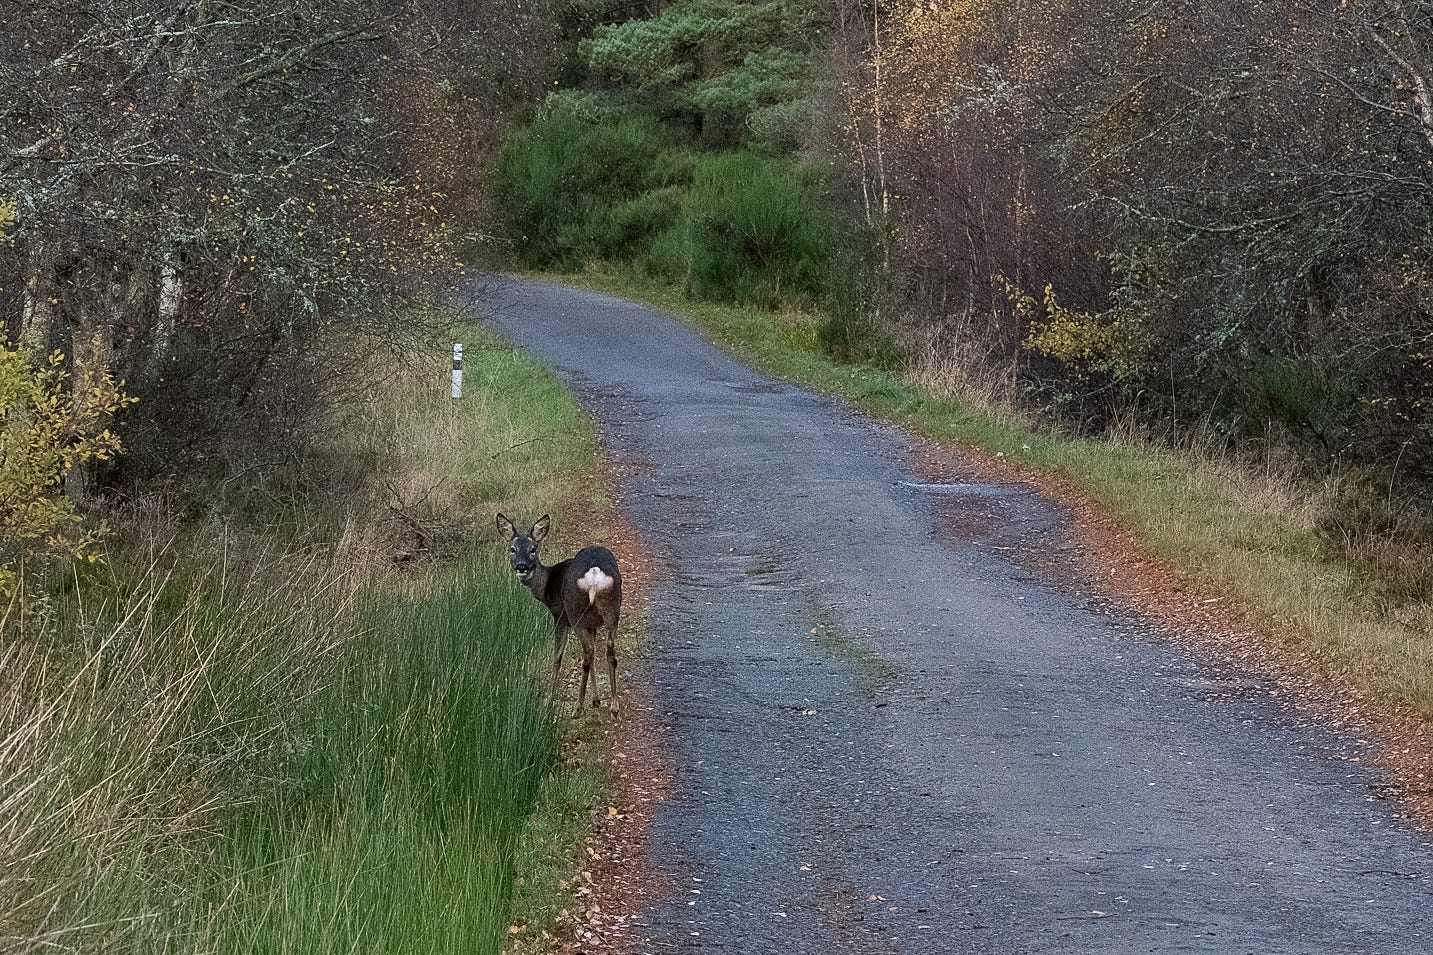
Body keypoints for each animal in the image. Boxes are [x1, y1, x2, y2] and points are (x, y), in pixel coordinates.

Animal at [498, 510, 621, 711]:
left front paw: (549, 699)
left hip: (574, 611)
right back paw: (614, 707)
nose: (521, 567)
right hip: (612, 610)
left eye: (533, 549)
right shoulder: (592, 623)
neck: (546, 586)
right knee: (607, 651)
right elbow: (595, 655)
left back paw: (578, 707)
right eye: (512, 549)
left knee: (587, 651)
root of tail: (594, 574)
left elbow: (557, 657)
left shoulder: (559, 615)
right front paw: (596, 700)